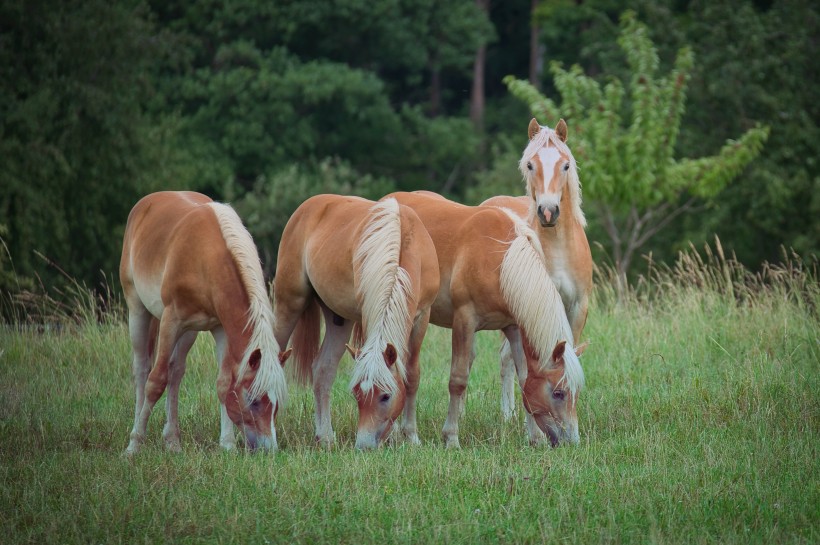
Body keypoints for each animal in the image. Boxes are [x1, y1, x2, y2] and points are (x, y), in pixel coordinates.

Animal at [119, 189, 288, 452]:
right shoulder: (170, 321)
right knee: (142, 369)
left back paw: (173, 441)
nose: (269, 449)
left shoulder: (221, 328)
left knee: (175, 373)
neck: (206, 258)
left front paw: (227, 445)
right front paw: (134, 444)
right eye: (254, 400)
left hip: (189, 332)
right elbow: (155, 382)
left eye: (276, 402)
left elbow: (223, 384)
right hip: (138, 310)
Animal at [272, 193, 438, 448]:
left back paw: (325, 436)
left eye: (386, 396)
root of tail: (308, 206)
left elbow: (412, 374)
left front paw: (410, 436)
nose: (363, 445)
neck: (403, 243)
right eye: (357, 394)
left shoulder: (422, 317)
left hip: (338, 320)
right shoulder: (369, 314)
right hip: (288, 304)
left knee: (323, 370)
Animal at [384, 191, 584, 446]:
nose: (572, 441)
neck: (501, 261)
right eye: (558, 393)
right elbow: (458, 380)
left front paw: (535, 438)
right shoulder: (464, 320)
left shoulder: (514, 327)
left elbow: (524, 379)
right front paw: (451, 437)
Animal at [480, 118, 588, 424]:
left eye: (565, 165)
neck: (559, 248)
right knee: (505, 359)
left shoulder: (578, 307)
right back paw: (508, 415)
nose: (548, 212)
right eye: (530, 164)